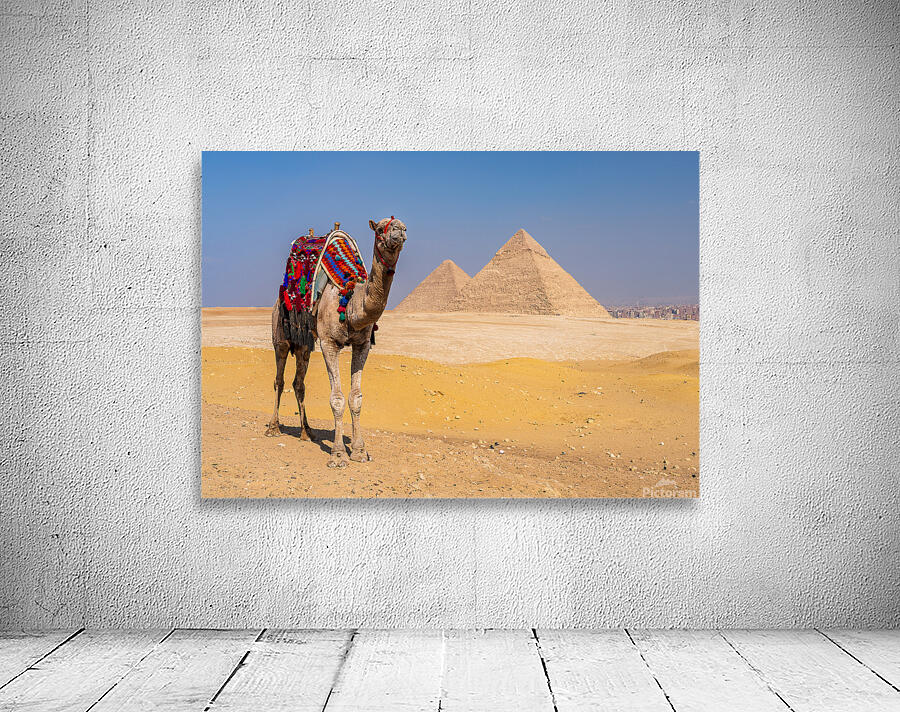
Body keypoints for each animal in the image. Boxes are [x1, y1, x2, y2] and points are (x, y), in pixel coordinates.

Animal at [265, 217, 407, 467]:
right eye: (381, 229)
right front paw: (339, 454)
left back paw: (307, 432)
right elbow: (337, 399)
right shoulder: (329, 343)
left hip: (304, 345)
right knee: (279, 380)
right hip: (280, 335)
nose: (398, 231)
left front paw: (360, 451)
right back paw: (274, 428)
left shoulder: (362, 344)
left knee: (298, 383)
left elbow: (356, 398)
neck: (351, 303)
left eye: (404, 227)